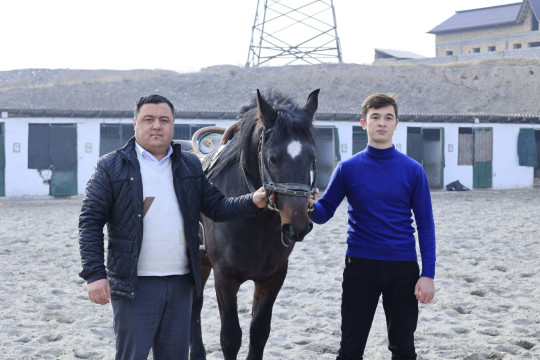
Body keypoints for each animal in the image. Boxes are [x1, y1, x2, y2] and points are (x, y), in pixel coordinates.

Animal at [190, 88, 318, 358]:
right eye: (272, 158)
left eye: (311, 157)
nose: (298, 225)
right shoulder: (224, 278)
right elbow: (230, 337)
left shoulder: (273, 277)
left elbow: (259, 332)